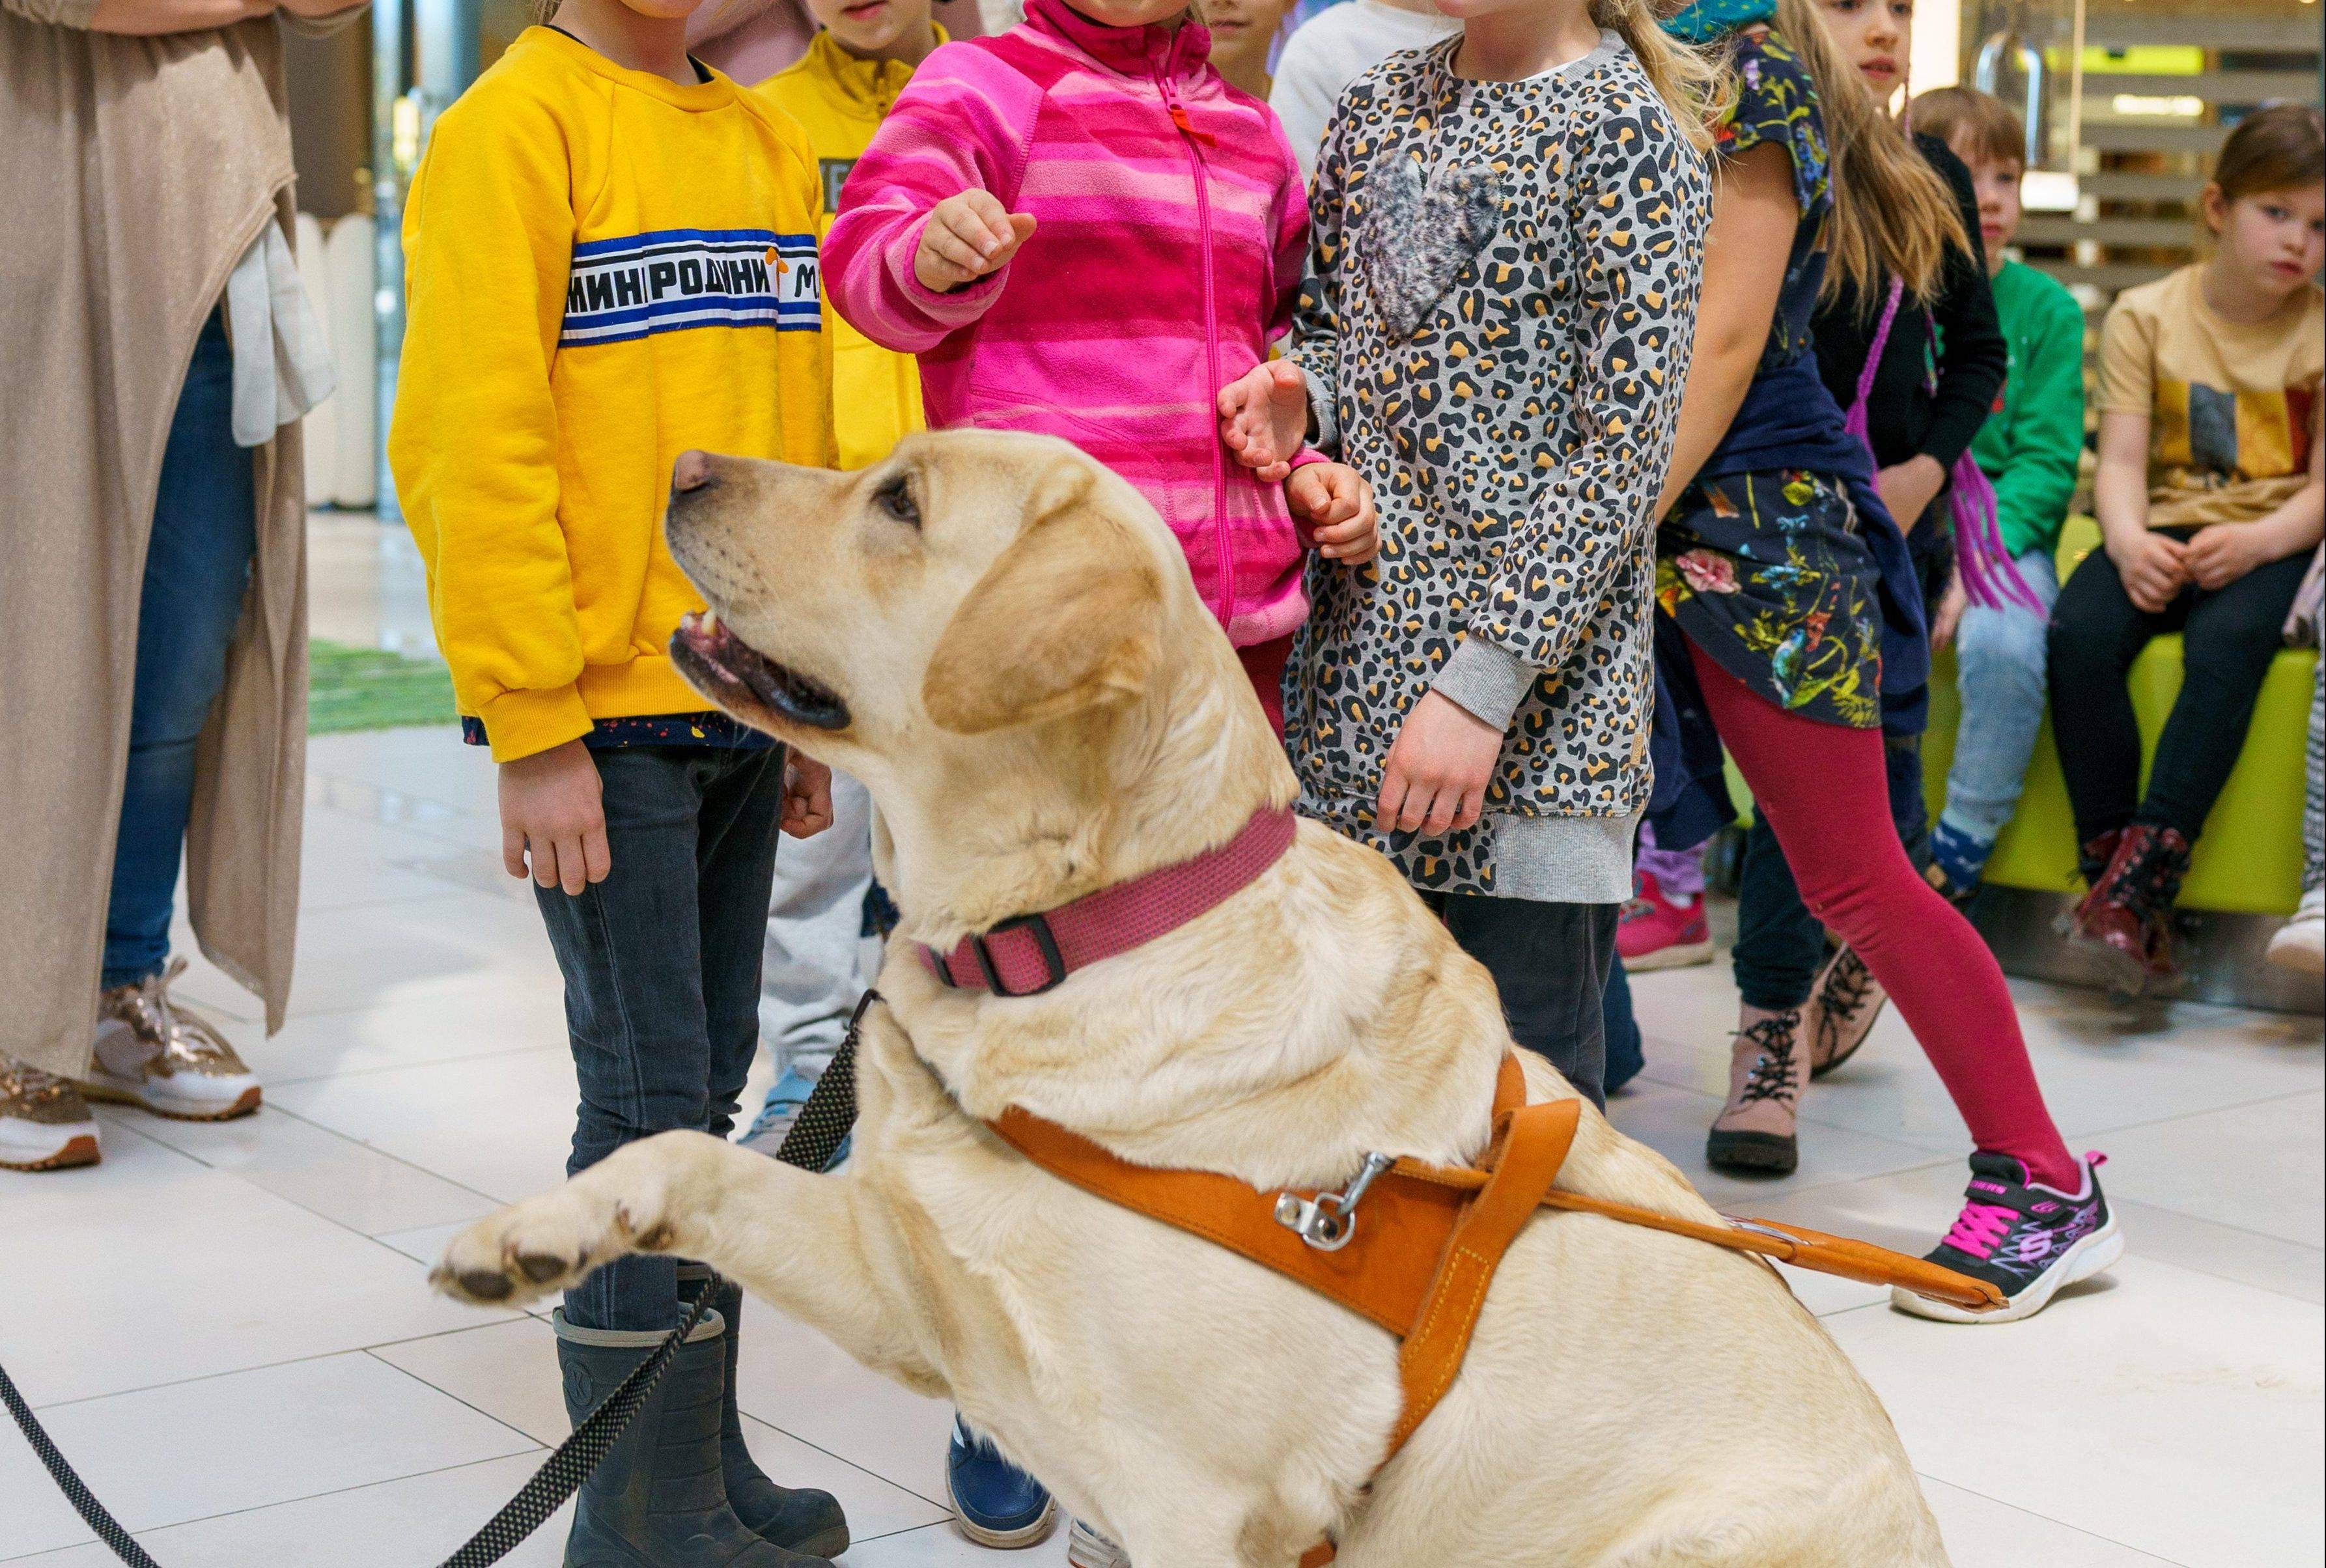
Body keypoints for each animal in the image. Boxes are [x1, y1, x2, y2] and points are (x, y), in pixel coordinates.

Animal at [432, 428, 1944, 1563]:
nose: (684, 464)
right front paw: (540, 1231)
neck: (1069, 932)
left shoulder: (1189, 1504)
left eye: (901, 501)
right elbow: (692, 1156)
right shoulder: (920, 1293)